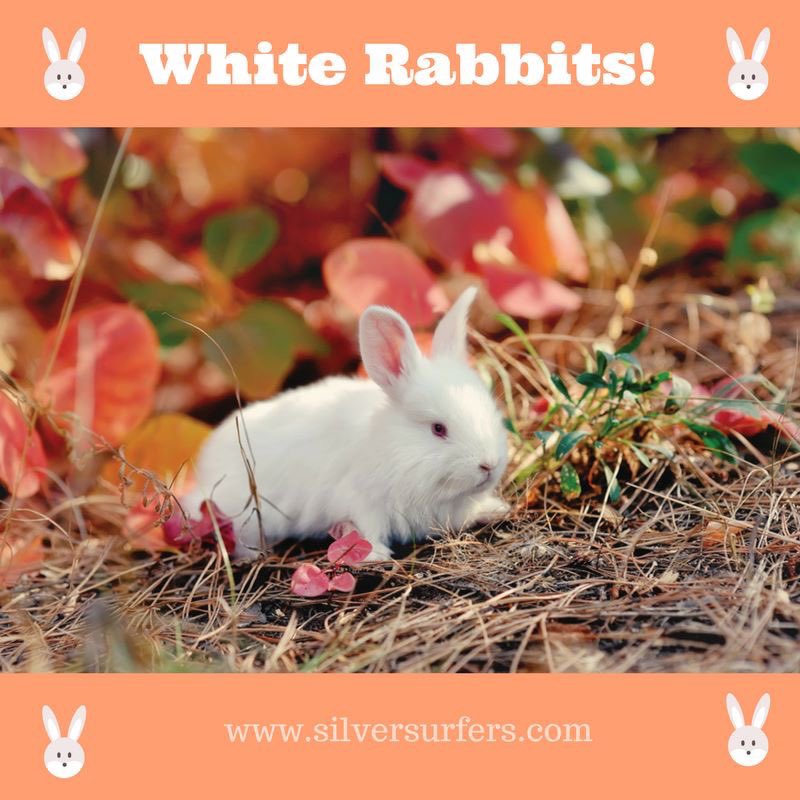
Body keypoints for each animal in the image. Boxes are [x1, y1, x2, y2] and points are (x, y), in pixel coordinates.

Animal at [181, 286, 510, 561]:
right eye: (438, 429)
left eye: (491, 411)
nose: (489, 465)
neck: (395, 447)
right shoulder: (361, 500)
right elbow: (369, 528)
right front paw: (375, 554)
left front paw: (495, 509)